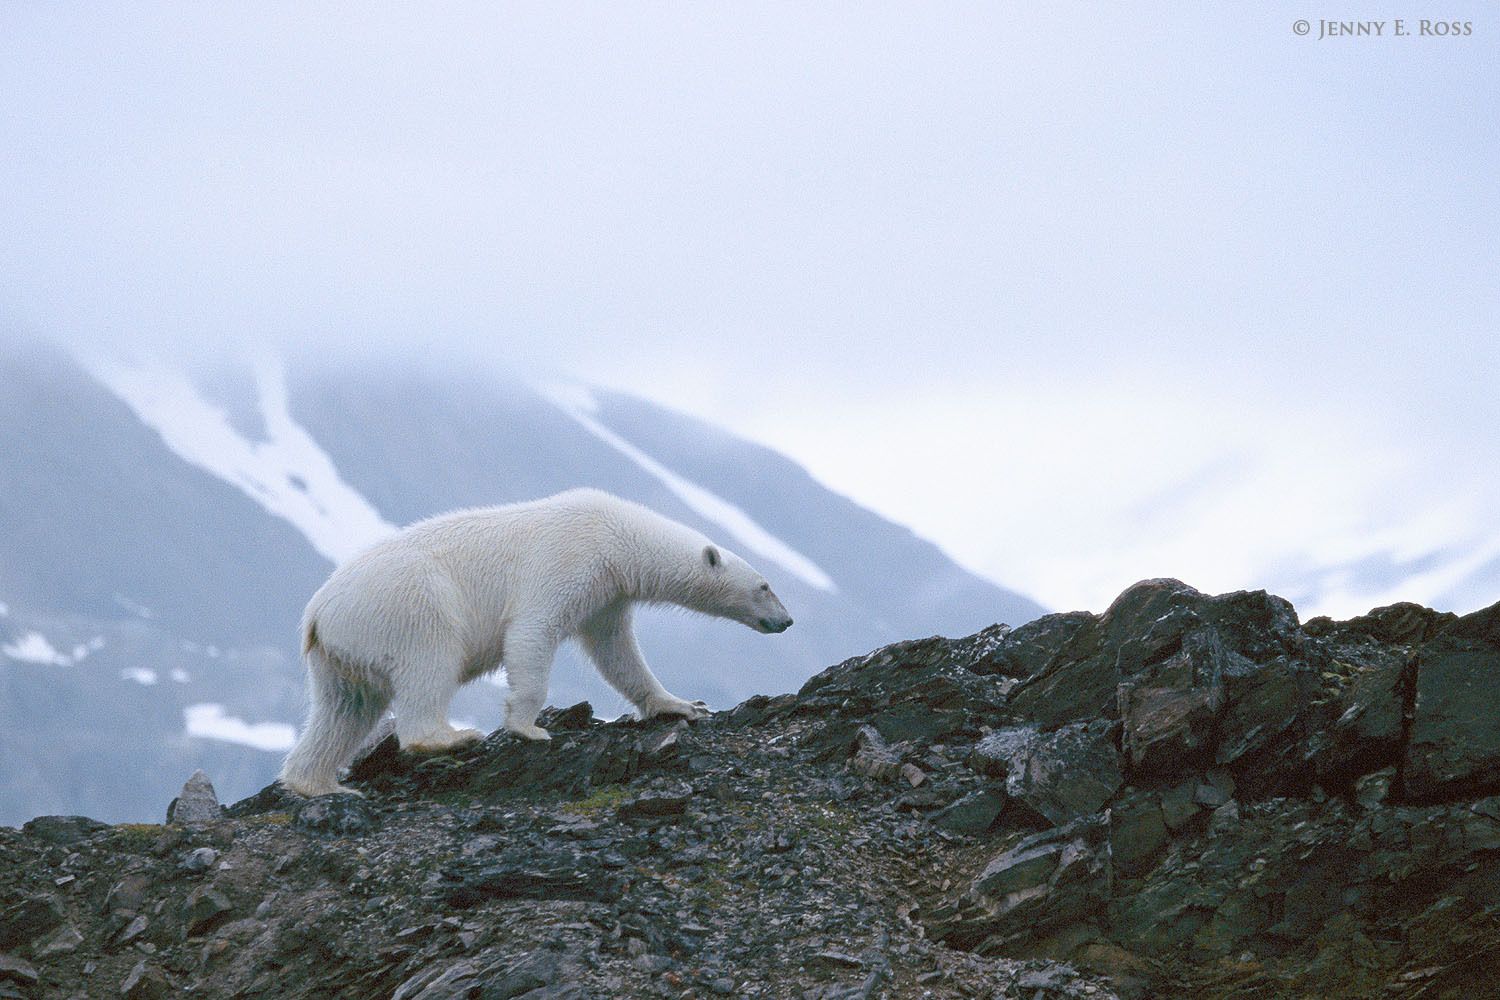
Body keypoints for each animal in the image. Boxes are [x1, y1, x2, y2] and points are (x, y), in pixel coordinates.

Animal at [279, 488, 795, 797]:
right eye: (764, 585)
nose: (787, 620)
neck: (615, 535)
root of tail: (317, 613)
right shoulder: (568, 559)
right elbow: (532, 631)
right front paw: (529, 727)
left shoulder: (607, 592)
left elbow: (617, 652)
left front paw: (682, 705)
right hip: (407, 604)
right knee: (430, 661)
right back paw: (451, 737)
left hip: (342, 650)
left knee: (344, 709)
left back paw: (320, 783)